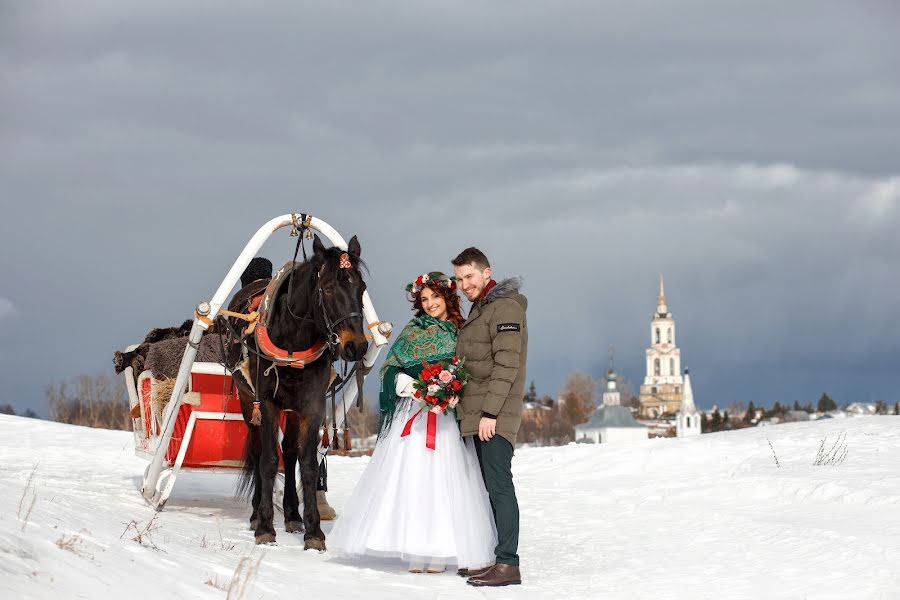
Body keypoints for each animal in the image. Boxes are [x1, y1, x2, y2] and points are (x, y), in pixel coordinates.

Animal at [229, 234, 370, 548]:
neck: (292, 338)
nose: (356, 346)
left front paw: (313, 530)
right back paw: (256, 513)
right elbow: (269, 461)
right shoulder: (267, 404)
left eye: (362, 287)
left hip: (292, 409)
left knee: (290, 452)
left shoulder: (311, 406)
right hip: (248, 401)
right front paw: (265, 526)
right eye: (327, 288)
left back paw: (293, 515)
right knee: (258, 451)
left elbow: (306, 463)